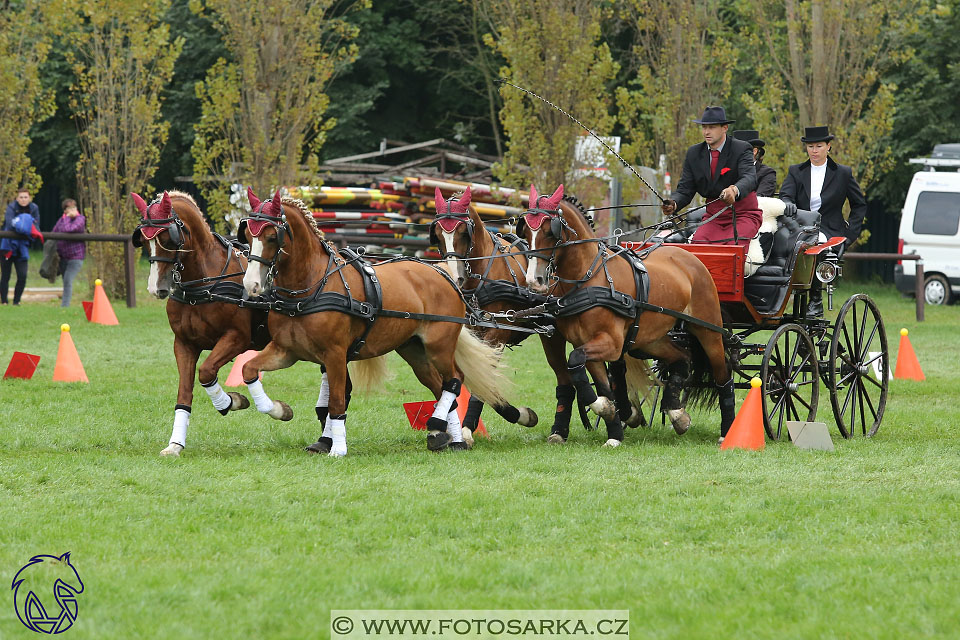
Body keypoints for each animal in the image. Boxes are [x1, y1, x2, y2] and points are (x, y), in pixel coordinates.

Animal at [129, 190, 268, 456]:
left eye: (168, 238)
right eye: (142, 240)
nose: (155, 288)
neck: (203, 283)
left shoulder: (237, 338)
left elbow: (206, 372)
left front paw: (229, 402)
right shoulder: (184, 344)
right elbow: (184, 392)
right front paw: (175, 444)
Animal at [240, 188, 510, 458]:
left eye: (271, 236)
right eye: (247, 234)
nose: (251, 284)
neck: (311, 287)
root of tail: (445, 274)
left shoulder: (335, 355)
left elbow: (336, 401)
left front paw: (338, 449)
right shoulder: (286, 351)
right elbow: (248, 370)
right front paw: (279, 410)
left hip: (439, 346)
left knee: (454, 380)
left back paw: (448, 433)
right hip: (414, 350)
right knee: (439, 384)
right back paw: (444, 436)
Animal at [428, 188, 624, 442]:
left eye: (463, 232)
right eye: (438, 234)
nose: (456, 278)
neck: (486, 272)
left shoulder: (496, 336)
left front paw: (470, 429)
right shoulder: (474, 334)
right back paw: (561, 431)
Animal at [516, 185, 736, 444]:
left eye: (550, 232)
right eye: (526, 232)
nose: (535, 280)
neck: (589, 277)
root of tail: (690, 257)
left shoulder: (611, 343)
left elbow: (576, 361)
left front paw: (607, 410)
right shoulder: (588, 344)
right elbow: (595, 380)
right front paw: (613, 427)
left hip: (708, 331)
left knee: (723, 375)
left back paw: (727, 430)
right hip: (651, 339)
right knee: (682, 357)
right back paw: (677, 413)